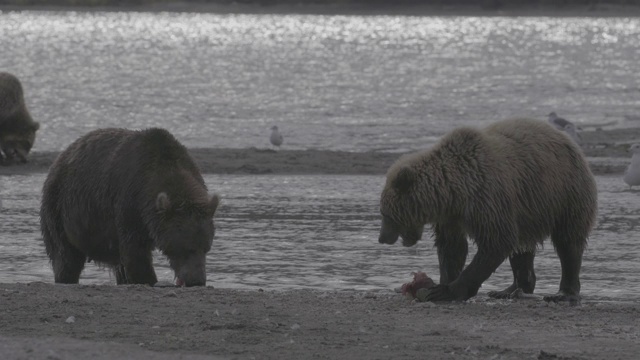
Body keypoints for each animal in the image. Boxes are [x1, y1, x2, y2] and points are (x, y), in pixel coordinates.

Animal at [378, 117, 596, 304]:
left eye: (385, 214)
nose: (382, 238)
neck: (454, 192)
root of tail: (567, 140)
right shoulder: (451, 217)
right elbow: (452, 247)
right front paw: (441, 283)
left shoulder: (487, 198)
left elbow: (496, 241)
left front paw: (447, 291)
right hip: (527, 210)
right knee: (521, 249)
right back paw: (508, 290)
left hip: (564, 194)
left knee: (568, 242)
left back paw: (563, 292)